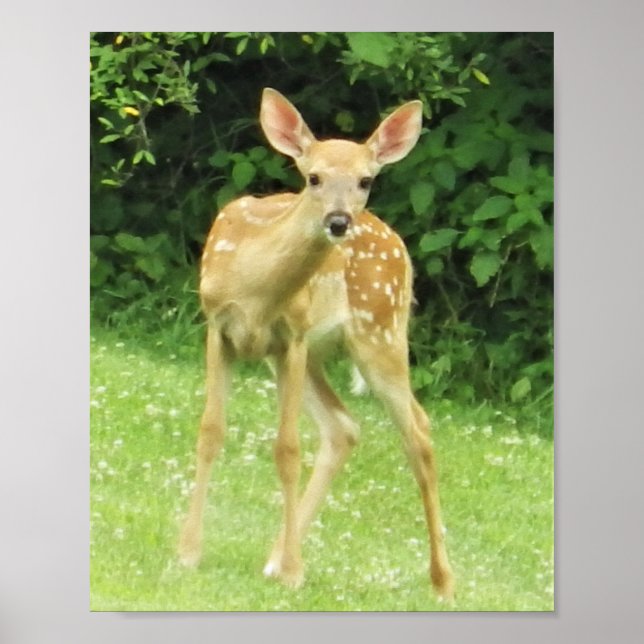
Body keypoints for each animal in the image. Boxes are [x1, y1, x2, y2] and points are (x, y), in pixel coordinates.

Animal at [178, 88, 455, 602]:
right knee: (343, 427)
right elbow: (210, 433)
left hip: (380, 332)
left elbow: (287, 450)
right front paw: (188, 552)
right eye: (313, 177)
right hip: (304, 358)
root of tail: (401, 247)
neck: (256, 289)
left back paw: (442, 580)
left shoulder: (295, 334)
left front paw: (293, 572)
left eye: (366, 179)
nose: (339, 221)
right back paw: (273, 557)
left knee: (419, 432)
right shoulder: (218, 327)